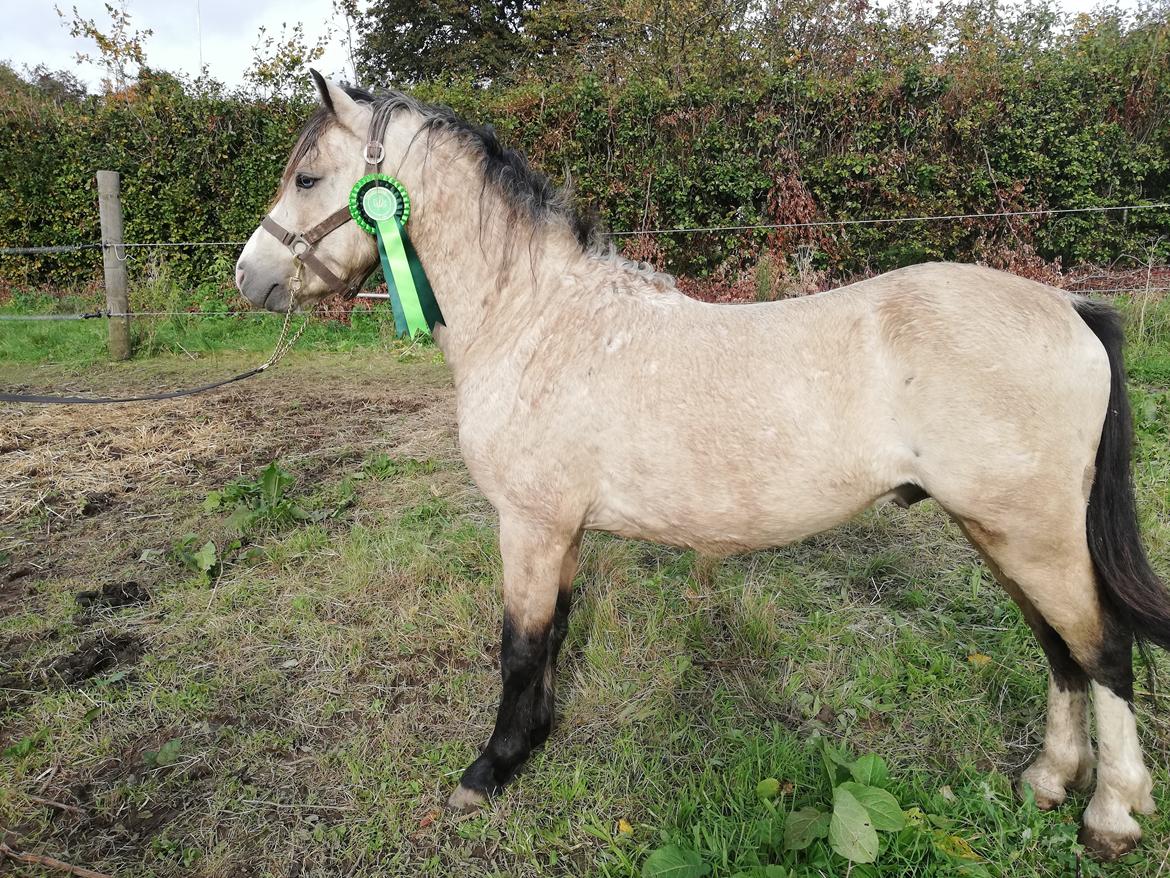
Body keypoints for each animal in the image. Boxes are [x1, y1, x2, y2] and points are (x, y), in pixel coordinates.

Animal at [235, 71, 1170, 860]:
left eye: (308, 178)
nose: (250, 278)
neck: (537, 321)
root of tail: (1071, 306)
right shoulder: (561, 530)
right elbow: (555, 634)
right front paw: (535, 742)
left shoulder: (528, 525)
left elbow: (519, 647)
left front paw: (488, 772)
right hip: (1000, 530)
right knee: (1057, 647)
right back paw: (1047, 781)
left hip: (1034, 533)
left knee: (1104, 650)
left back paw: (1111, 814)